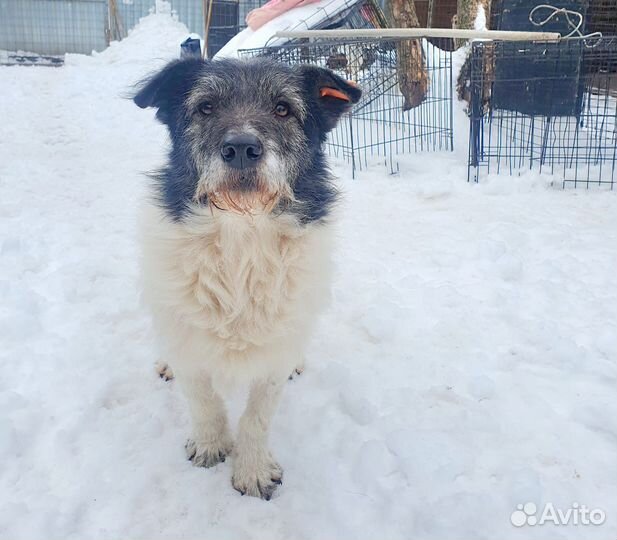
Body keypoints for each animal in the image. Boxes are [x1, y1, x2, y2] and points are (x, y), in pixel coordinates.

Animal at [132, 57, 358, 500]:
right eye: (205, 108)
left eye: (283, 109)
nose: (240, 149)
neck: (242, 236)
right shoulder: (188, 339)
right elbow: (202, 400)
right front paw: (210, 445)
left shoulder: (274, 350)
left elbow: (258, 416)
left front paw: (252, 470)